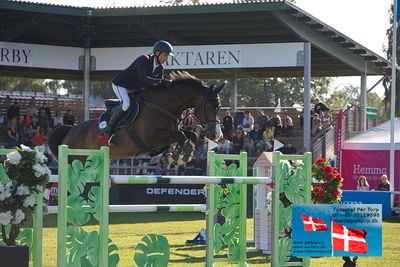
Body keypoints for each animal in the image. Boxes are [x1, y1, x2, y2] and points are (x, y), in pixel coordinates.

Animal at [48, 71, 223, 163]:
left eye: (220, 107)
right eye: (210, 106)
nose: (217, 135)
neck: (163, 105)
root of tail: (70, 131)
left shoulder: (167, 133)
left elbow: (191, 134)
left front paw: (181, 155)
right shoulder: (151, 137)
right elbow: (180, 135)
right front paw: (177, 156)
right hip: (76, 158)